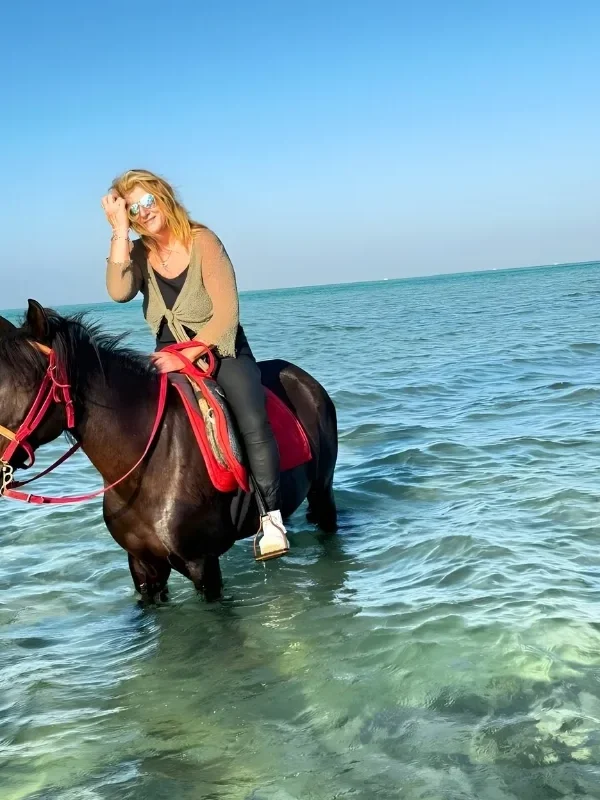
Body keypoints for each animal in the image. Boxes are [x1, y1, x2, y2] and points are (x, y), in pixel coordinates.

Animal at [0, 300, 338, 602]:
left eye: (14, 387)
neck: (149, 463)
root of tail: (303, 379)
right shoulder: (142, 566)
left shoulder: (202, 564)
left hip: (322, 491)